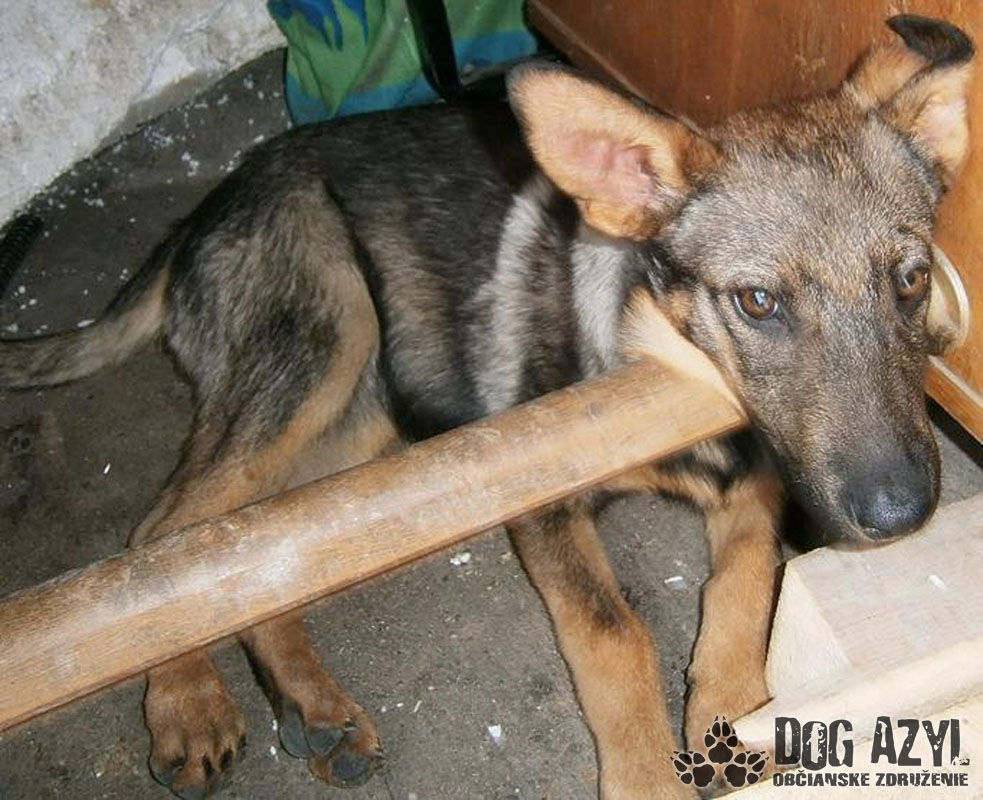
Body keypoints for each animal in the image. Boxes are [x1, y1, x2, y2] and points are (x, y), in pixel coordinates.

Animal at [0, 13, 974, 800]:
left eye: (910, 280)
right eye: (758, 302)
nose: (900, 516)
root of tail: (207, 207)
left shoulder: (765, 473)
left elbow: (744, 581)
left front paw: (733, 712)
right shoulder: (538, 494)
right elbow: (614, 634)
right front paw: (646, 776)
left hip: (372, 410)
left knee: (256, 552)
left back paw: (312, 706)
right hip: (329, 337)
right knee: (167, 534)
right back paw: (189, 704)